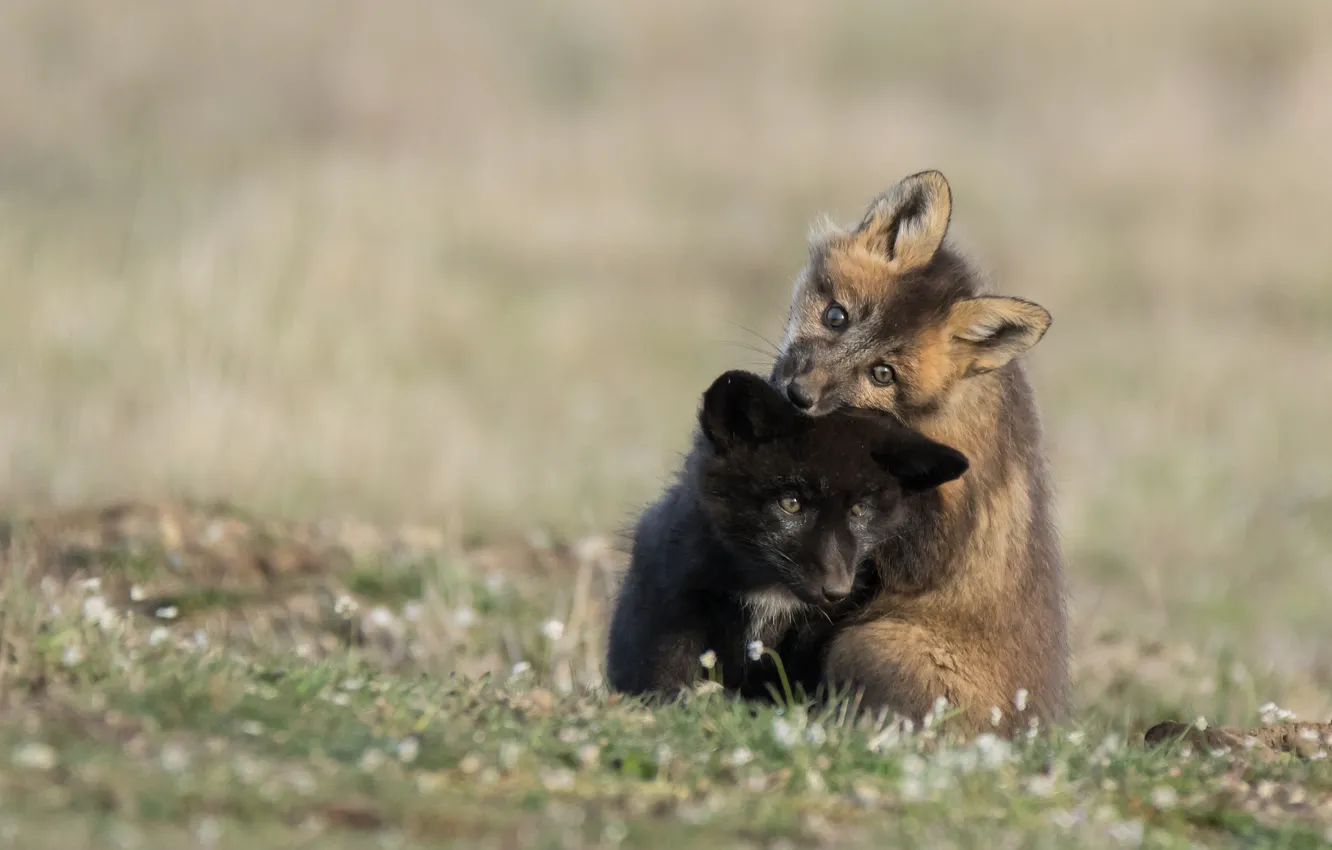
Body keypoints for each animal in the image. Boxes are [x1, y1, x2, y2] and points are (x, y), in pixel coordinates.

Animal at [605, 370, 968, 701]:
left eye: (859, 510)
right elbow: (665, 670)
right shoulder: (670, 598)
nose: (836, 590)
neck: (769, 590)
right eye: (791, 503)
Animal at [769, 170, 1067, 734]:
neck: (933, 409)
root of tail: (1033, 733)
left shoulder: (932, 545)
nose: (798, 395)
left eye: (882, 374)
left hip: (872, 643)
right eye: (837, 316)